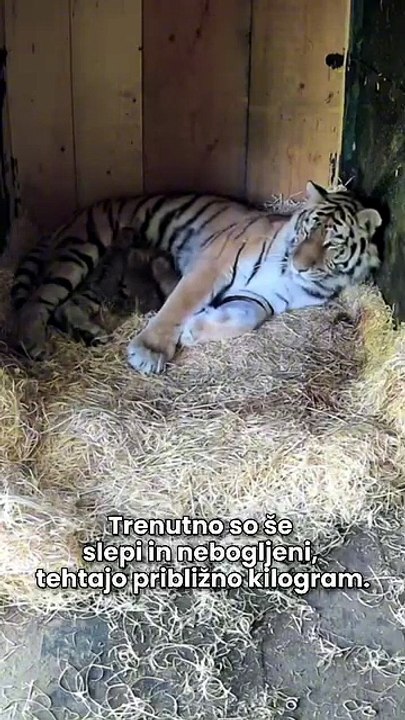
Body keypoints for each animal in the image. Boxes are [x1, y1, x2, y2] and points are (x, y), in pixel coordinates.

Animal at [11, 182, 382, 373]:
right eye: (307, 231)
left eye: (332, 243)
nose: (299, 264)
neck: (293, 279)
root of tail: (75, 214)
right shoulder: (211, 264)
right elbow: (177, 306)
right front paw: (149, 352)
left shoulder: (259, 299)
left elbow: (243, 318)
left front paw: (195, 329)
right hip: (80, 251)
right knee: (37, 302)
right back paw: (34, 344)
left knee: (65, 305)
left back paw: (90, 333)